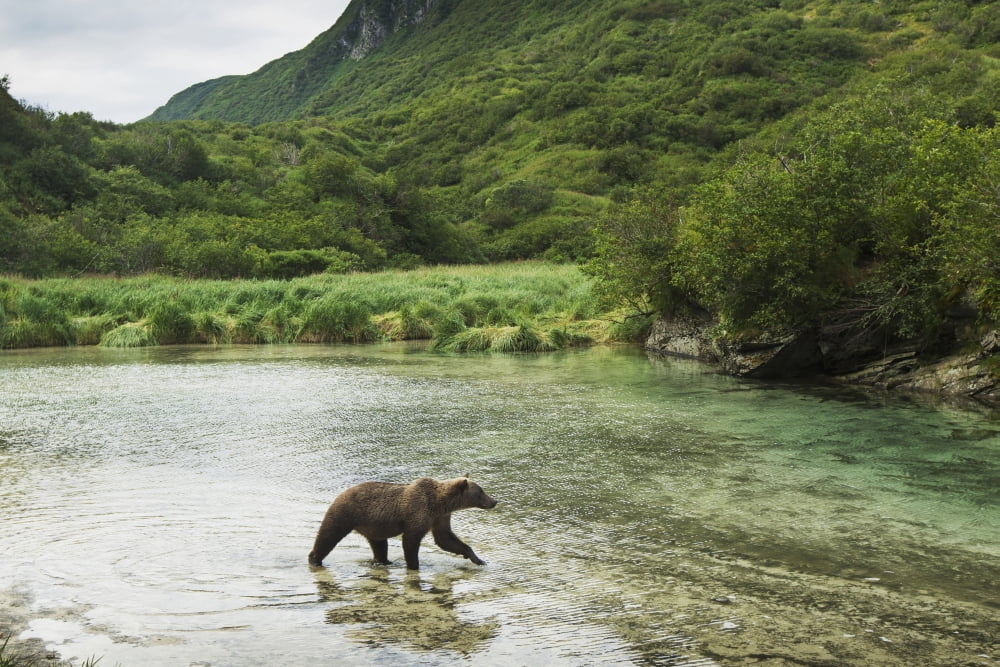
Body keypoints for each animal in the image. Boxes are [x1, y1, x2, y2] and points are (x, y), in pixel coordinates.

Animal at [308, 476, 497, 570]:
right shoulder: (418, 511)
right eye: (481, 492)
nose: (494, 501)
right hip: (345, 513)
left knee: (380, 546)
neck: (439, 503)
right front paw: (414, 566)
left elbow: (445, 538)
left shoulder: (440, 517)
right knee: (328, 535)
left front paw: (477, 558)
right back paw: (315, 560)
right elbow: (411, 540)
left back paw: (384, 562)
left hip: (374, 527)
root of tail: (340, 493)